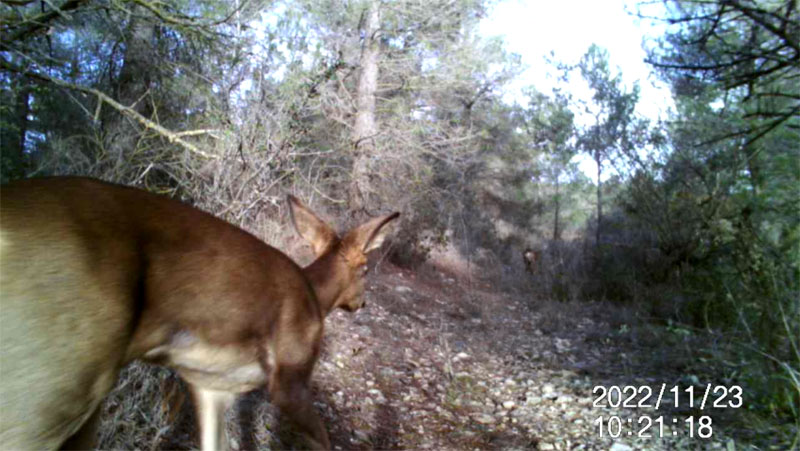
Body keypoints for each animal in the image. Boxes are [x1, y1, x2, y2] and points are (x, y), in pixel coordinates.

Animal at [0, 177, 400, 451]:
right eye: (365, 268)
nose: (362, 303)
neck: (315, 296)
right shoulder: (290, 377)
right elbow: (323, 440)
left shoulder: (211, 385)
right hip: (52, 392)